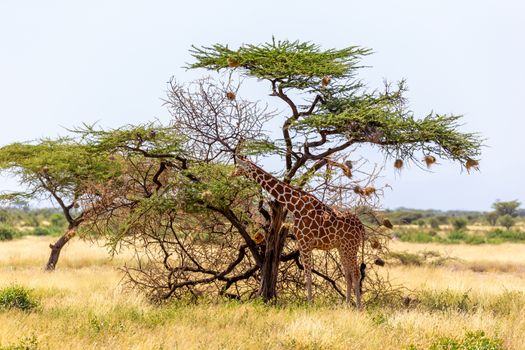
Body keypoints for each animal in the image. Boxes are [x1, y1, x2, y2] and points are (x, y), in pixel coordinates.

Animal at [233, 156, 364, 308]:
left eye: (238, 166)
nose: (231, 173)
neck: (295, 205)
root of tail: (361, 226)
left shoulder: (305, 242)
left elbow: (308, 273)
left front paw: (310, 303)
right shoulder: (301, 243)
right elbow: (307, 273)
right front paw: (310, 302)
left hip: (351, 247)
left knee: (356, 273)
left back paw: (358, 307)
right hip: (342, 247)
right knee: (348, 274)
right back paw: (347, 305)